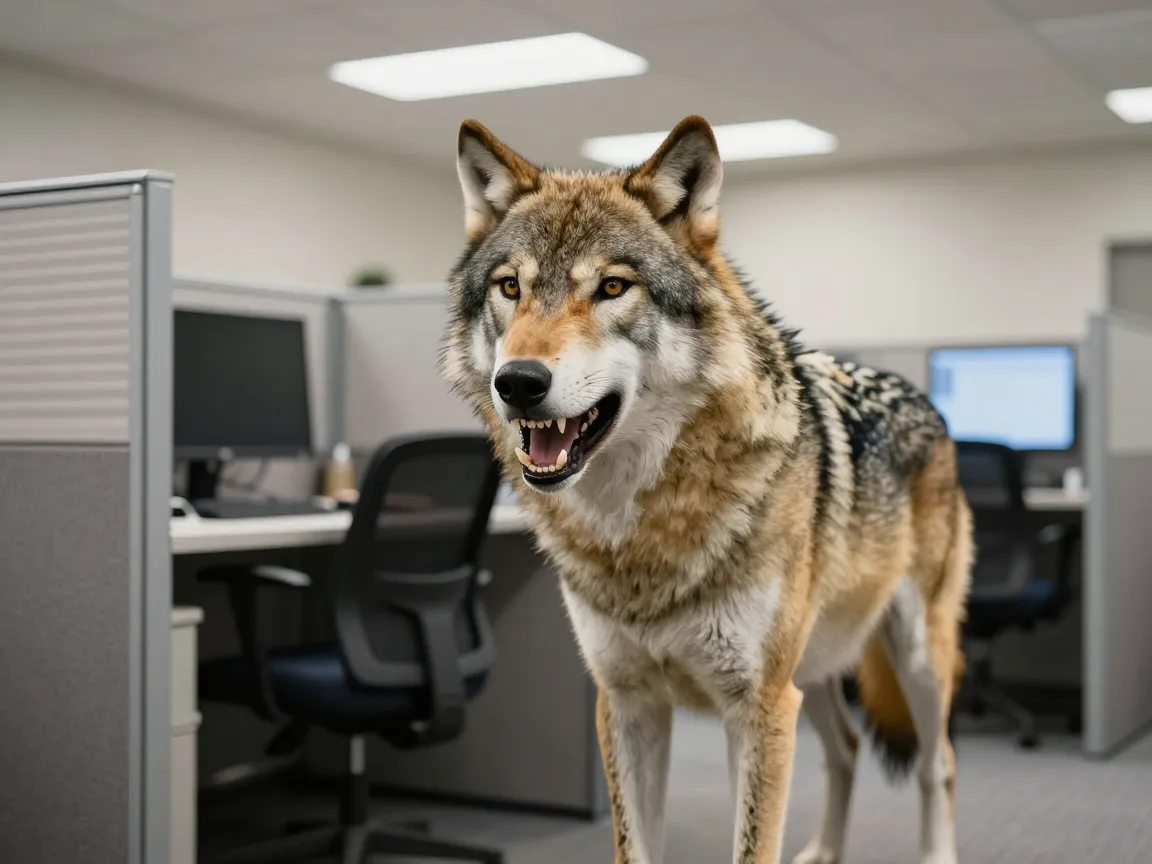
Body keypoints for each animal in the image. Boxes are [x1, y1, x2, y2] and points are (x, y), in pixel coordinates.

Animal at [440, 115, 971, 864]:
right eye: (511, 288)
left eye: (612, 288)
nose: (517, 382)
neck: (643, 532)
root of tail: (928, 403)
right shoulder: (628, 702)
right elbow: (634, 847)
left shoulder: (756, 709)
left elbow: (753, 846)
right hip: (812, 672)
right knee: (846, 747)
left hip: (916, 659)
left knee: (937, 762)